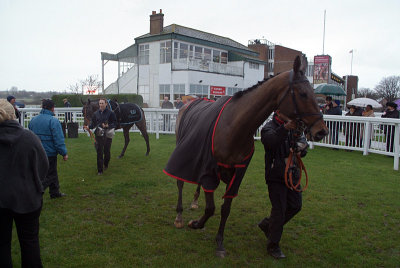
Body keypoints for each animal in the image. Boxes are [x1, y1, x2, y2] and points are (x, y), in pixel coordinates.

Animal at [163, 55, 328, 258]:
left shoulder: (238, 172)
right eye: (303, 93)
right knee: (180, 181)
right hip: (182, 148)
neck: (233, 126)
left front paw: (219, 242)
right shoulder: (210, 168)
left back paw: (194, 202)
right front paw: (196, 224)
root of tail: (188, 103)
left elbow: (226, 207)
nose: (322, 131)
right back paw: (179, 216)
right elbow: (211, 207)